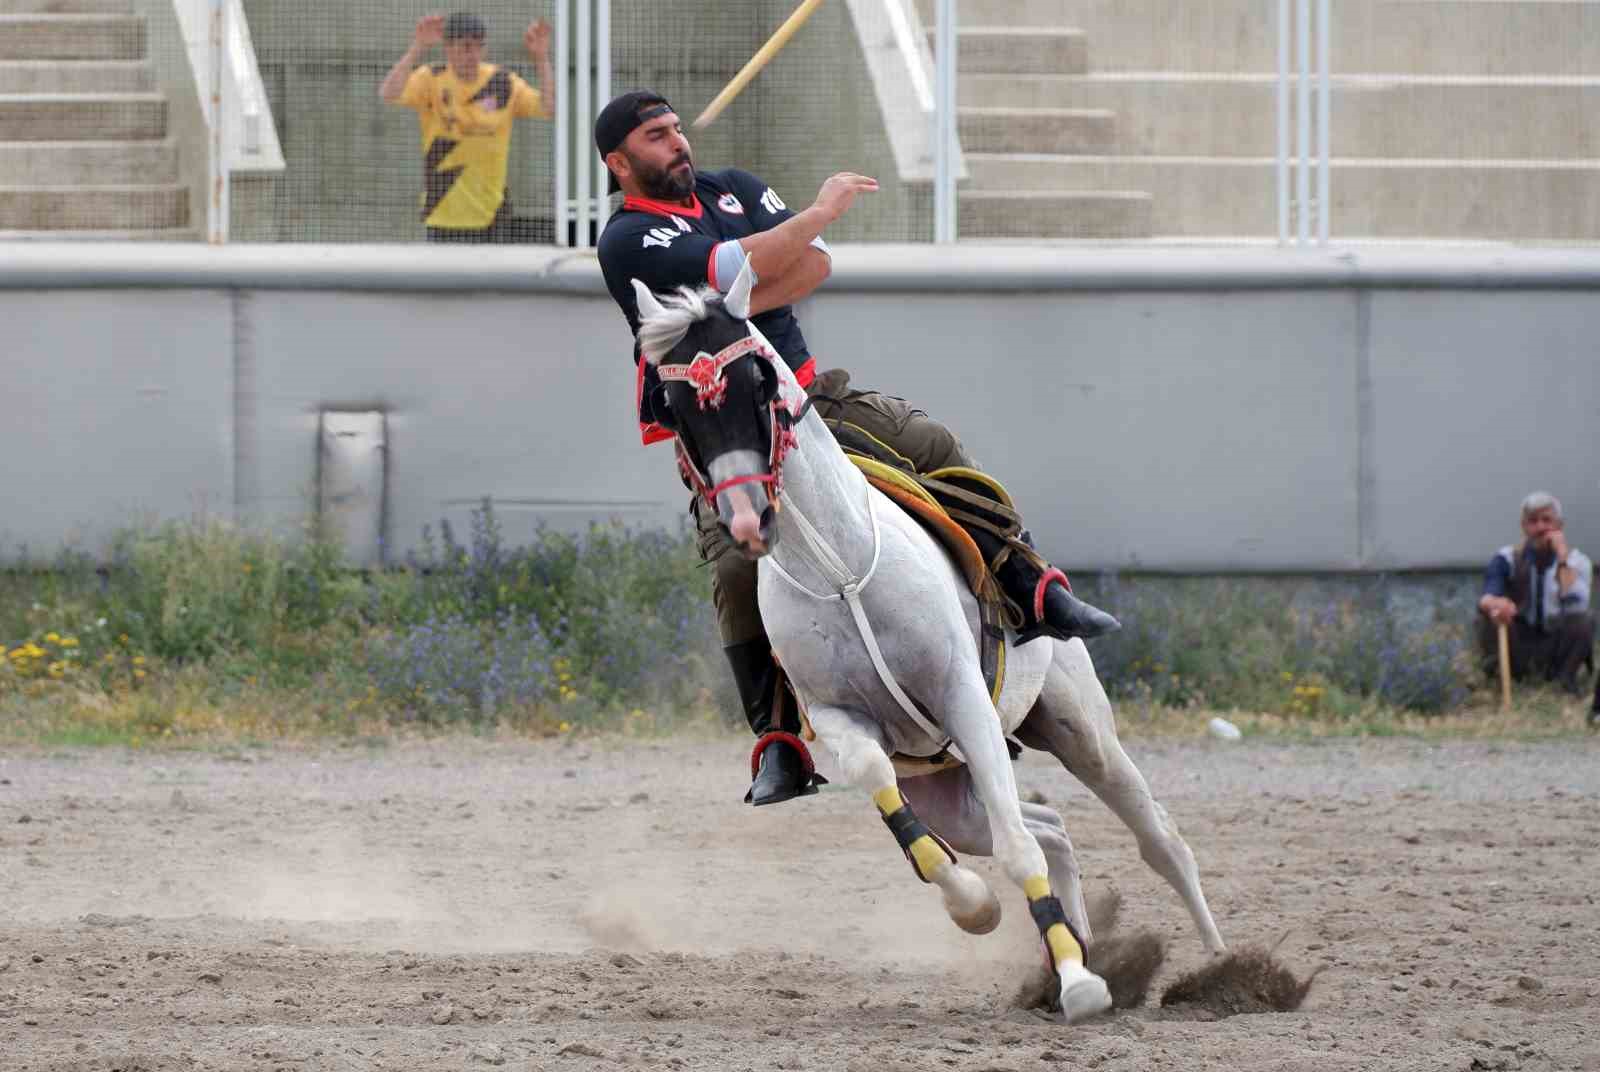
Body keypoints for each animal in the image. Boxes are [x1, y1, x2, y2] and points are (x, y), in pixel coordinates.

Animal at [627, 262, 1222, 1024]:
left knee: (1156, 839)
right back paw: (1072, 953)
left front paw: (1081, 986)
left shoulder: (961, 695)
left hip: (1077, 727)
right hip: (949, 791)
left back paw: (1215, 965)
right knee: (1050, 826)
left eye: (758, 379)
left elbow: (1018, 849)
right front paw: (977, 908)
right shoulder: (839, 719)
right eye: (672, 403)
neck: (840, 567)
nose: (746, 518)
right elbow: (892, 793)